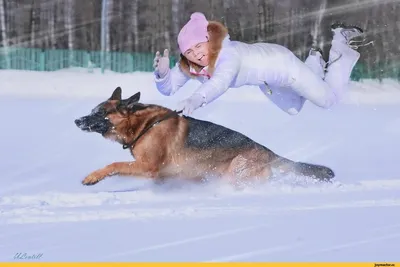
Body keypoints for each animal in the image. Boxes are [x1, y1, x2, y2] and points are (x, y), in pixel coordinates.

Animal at [74, 87, 334, 187]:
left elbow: (114, 165)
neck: (143, 125)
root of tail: (269, 153)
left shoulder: (148, 166)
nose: (76, 121)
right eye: (92, 110)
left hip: (236, 170)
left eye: (99, 113)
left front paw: (92, 177)